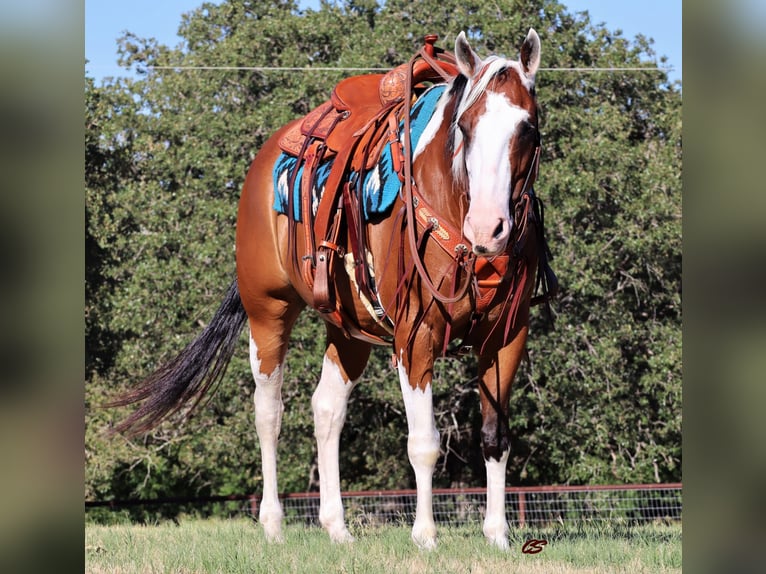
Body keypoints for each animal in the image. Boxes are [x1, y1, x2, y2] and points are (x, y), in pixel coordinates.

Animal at [112, 29, 560, 552]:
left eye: (528, 130)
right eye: (465, 127)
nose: (488, 228)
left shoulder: (506, 338)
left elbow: (495, 438)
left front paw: (497, 536)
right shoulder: (415, 337)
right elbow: (424, 444)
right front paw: (426, 537)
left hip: (349, 330)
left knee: (326, 410)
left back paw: (336, 527)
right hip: (268, 312)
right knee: (269, 412)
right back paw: (273, 524)